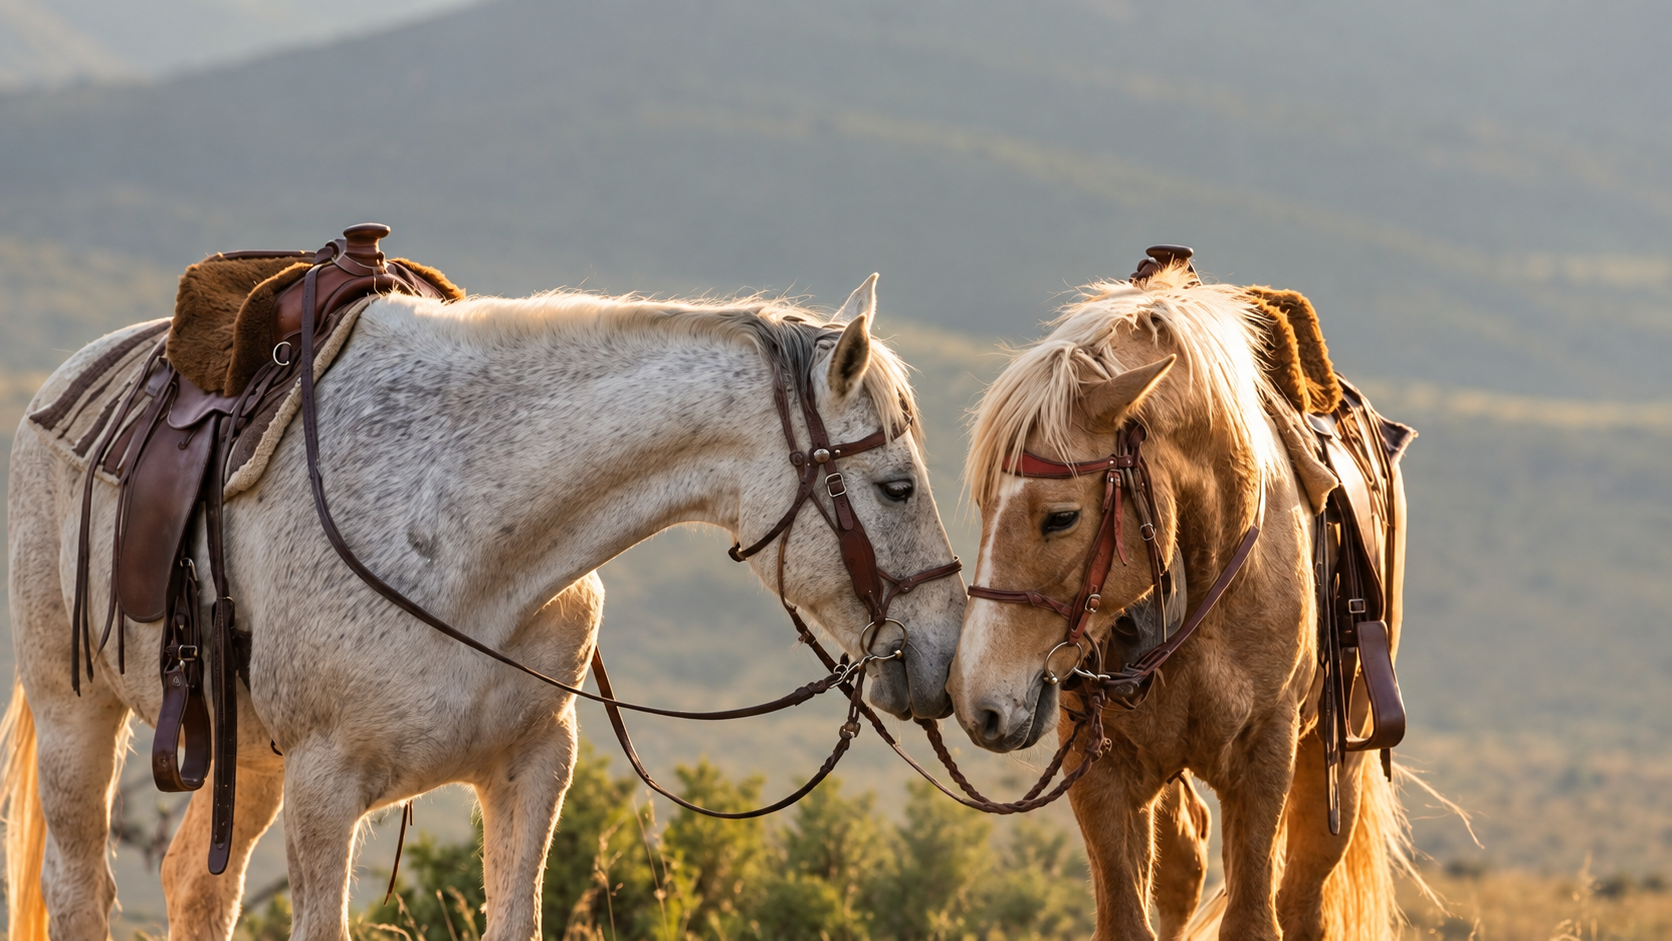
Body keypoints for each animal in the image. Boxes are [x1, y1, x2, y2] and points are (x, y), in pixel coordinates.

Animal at [2, 275, 967, 941]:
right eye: (895, 487)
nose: (945, 652)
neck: (469, 536)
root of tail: (59, 384)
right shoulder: (325, 786)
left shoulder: (530, 765)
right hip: (75, 713)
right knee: (78, 886)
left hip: (244, 753)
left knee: (194, 884)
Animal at [946, 262, 1417, 940]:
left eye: (1061, 517)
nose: (976, 702)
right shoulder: (1104, 772)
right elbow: (1127, 916)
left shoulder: (1264, 760)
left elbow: (1254, 919)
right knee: (1184, 867)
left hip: (1338, 760)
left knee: (1303, 897)